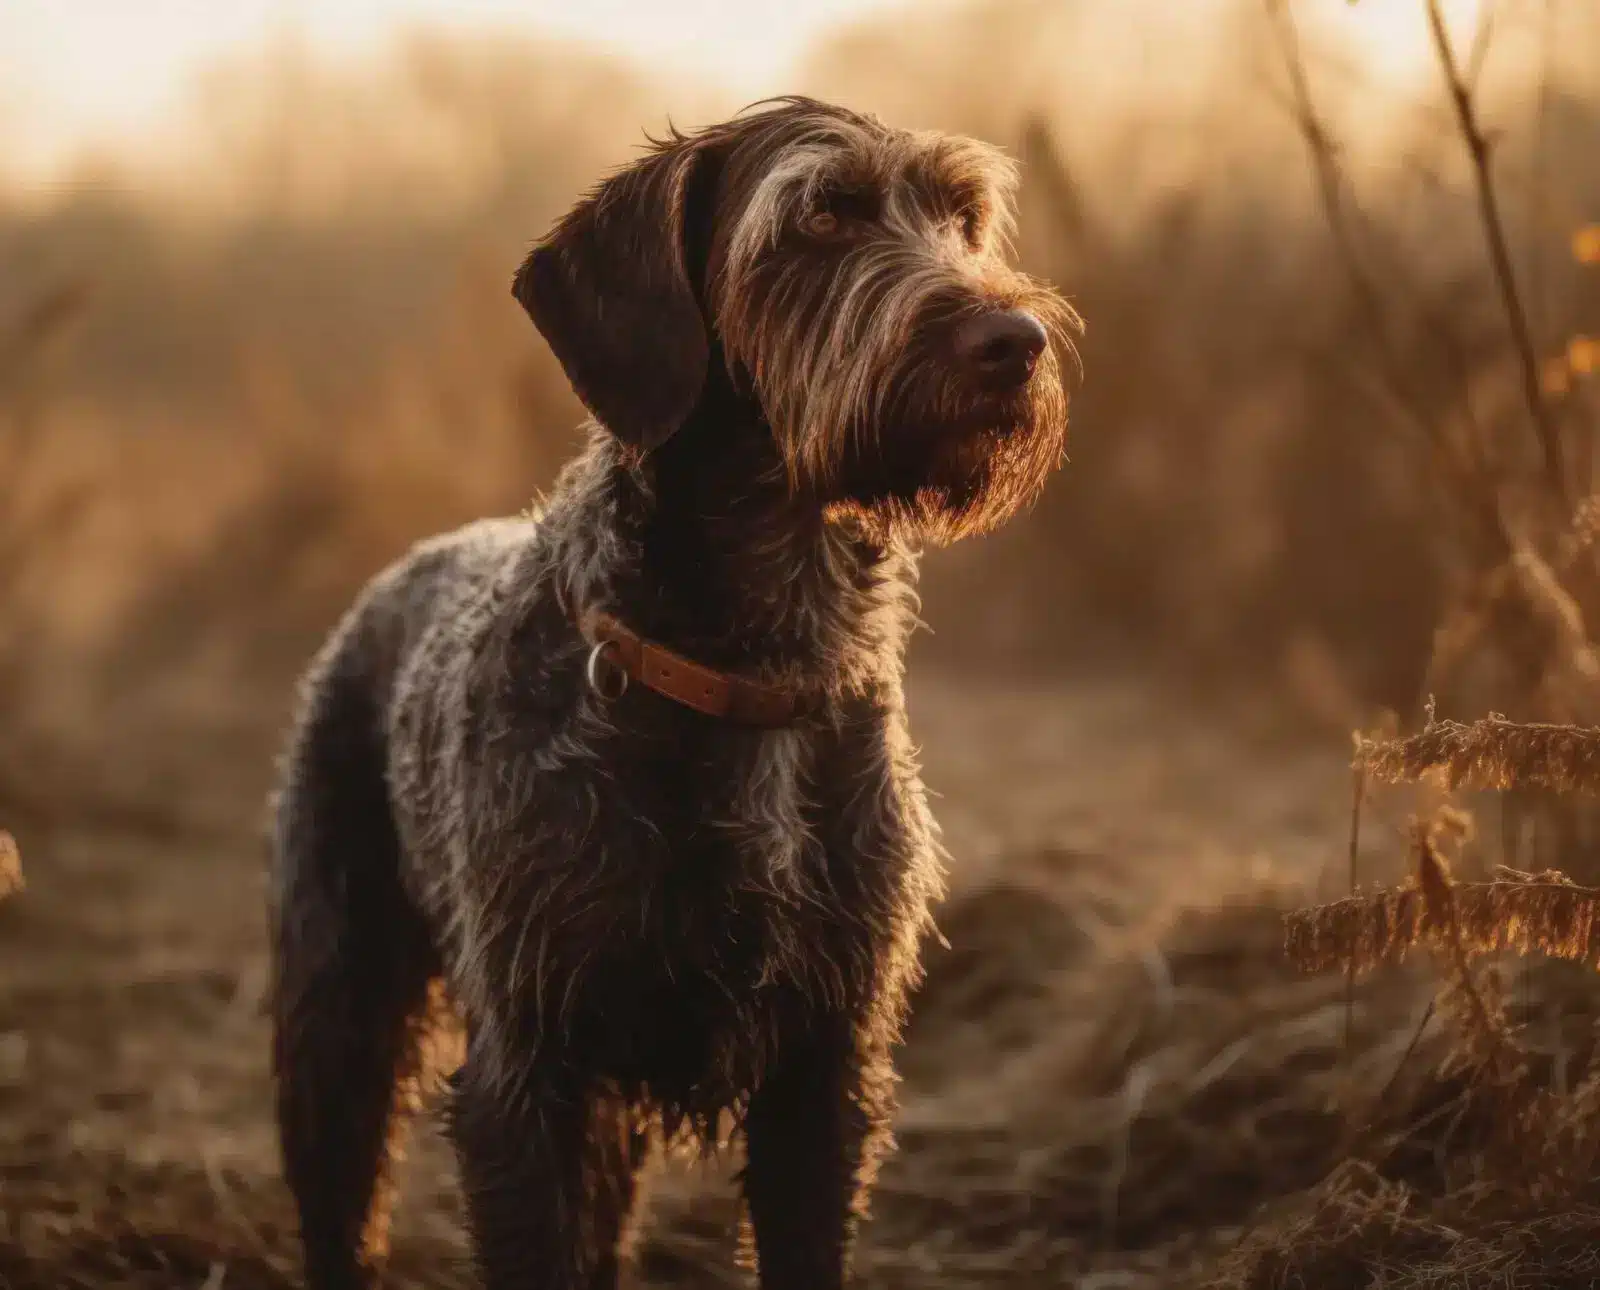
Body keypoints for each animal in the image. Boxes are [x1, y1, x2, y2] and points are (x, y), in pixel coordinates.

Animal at [268, 93, 1081, 1290]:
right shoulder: (529, 1074)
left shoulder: (824, 1069)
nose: (1014, 343)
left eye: (963, 215)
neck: (760, 657)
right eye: (822, 214)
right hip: (338, 1010)